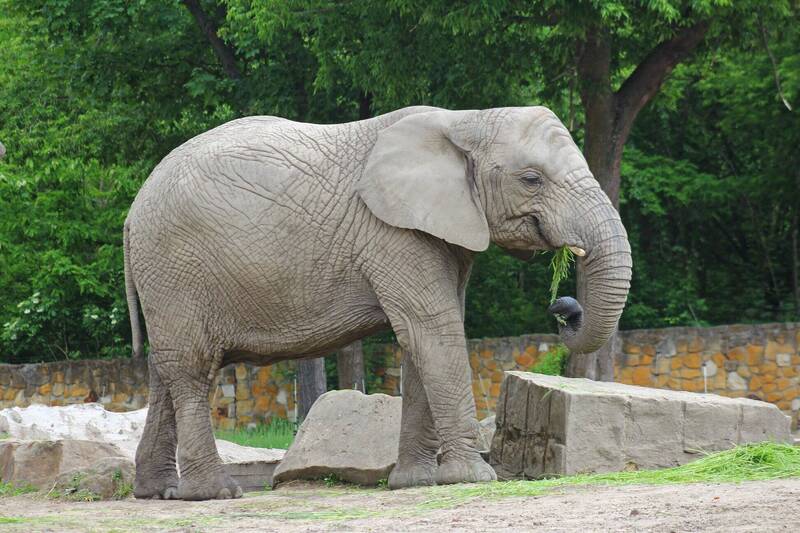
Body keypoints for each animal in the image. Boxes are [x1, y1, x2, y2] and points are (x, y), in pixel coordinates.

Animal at [126, 105, 632, 498]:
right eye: (531, 179)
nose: (562, 307)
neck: (465, 120)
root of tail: (132, 214)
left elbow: (421, 338)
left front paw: (415, 483)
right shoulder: (391, 232)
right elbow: (434, 330)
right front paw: (472, 477)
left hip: (165, 278)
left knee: (164, 371)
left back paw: (158, 492)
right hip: (176, 267)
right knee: (193, 370)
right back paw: (214, 493)